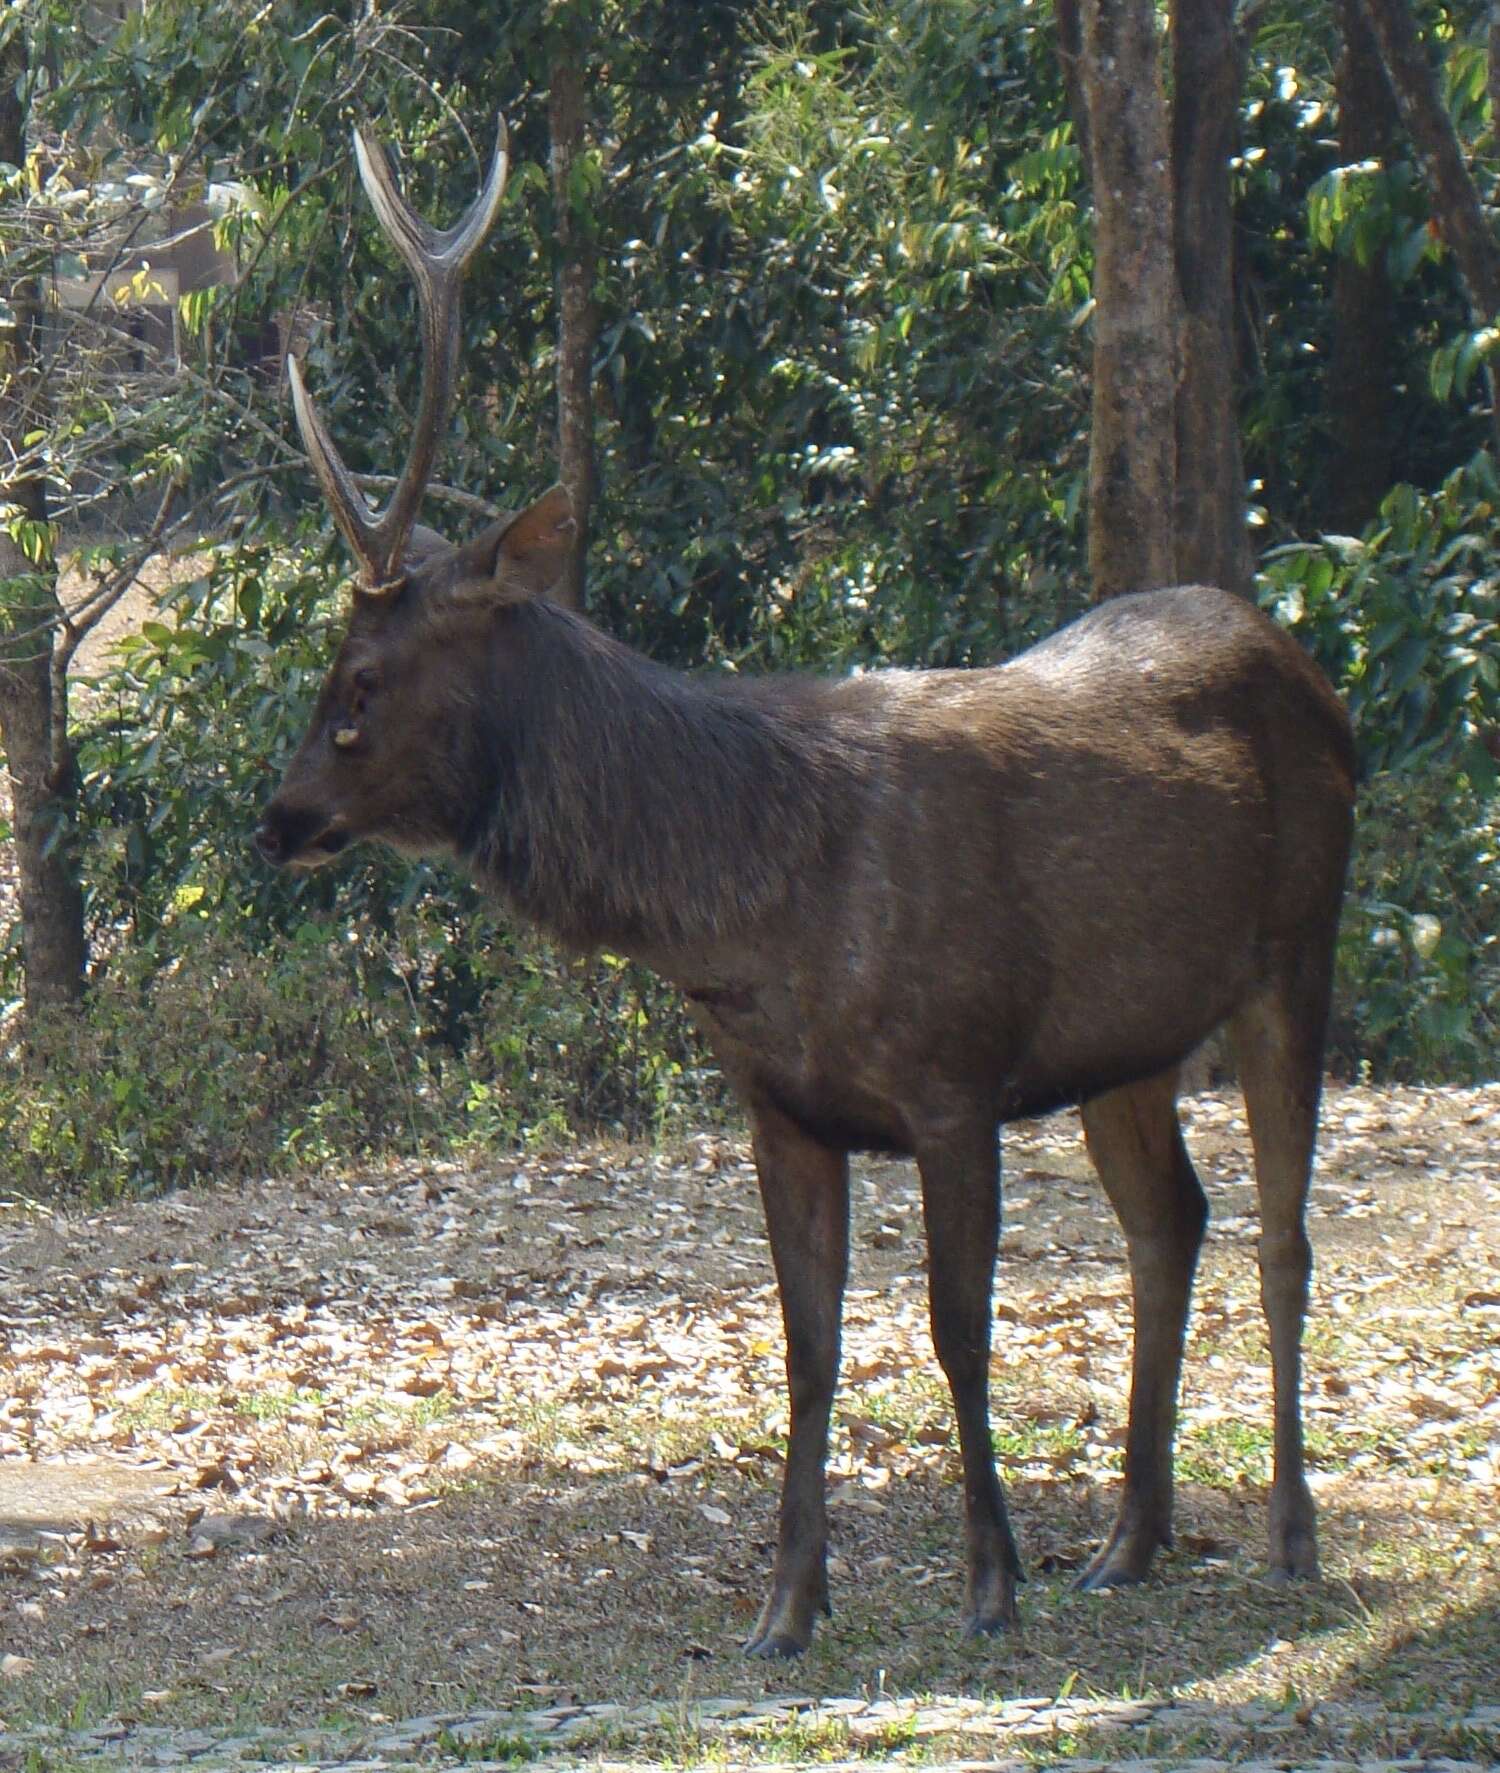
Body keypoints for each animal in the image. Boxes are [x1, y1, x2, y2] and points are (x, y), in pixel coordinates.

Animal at [258, 121, 1361, 1659]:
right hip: (1127, 1038)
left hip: (1299, 942)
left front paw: (988, 1582)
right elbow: (807, 1342)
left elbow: (957, 1326)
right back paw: (1129, 1542)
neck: (750, 907)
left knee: (1285, 1233)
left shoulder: (957, 1073)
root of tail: (1316, 674)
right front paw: (787, 1604)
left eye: (359, 686)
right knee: (1171, 1221)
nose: (277, 818)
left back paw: (1289, 1538)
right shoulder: (780, 1105)